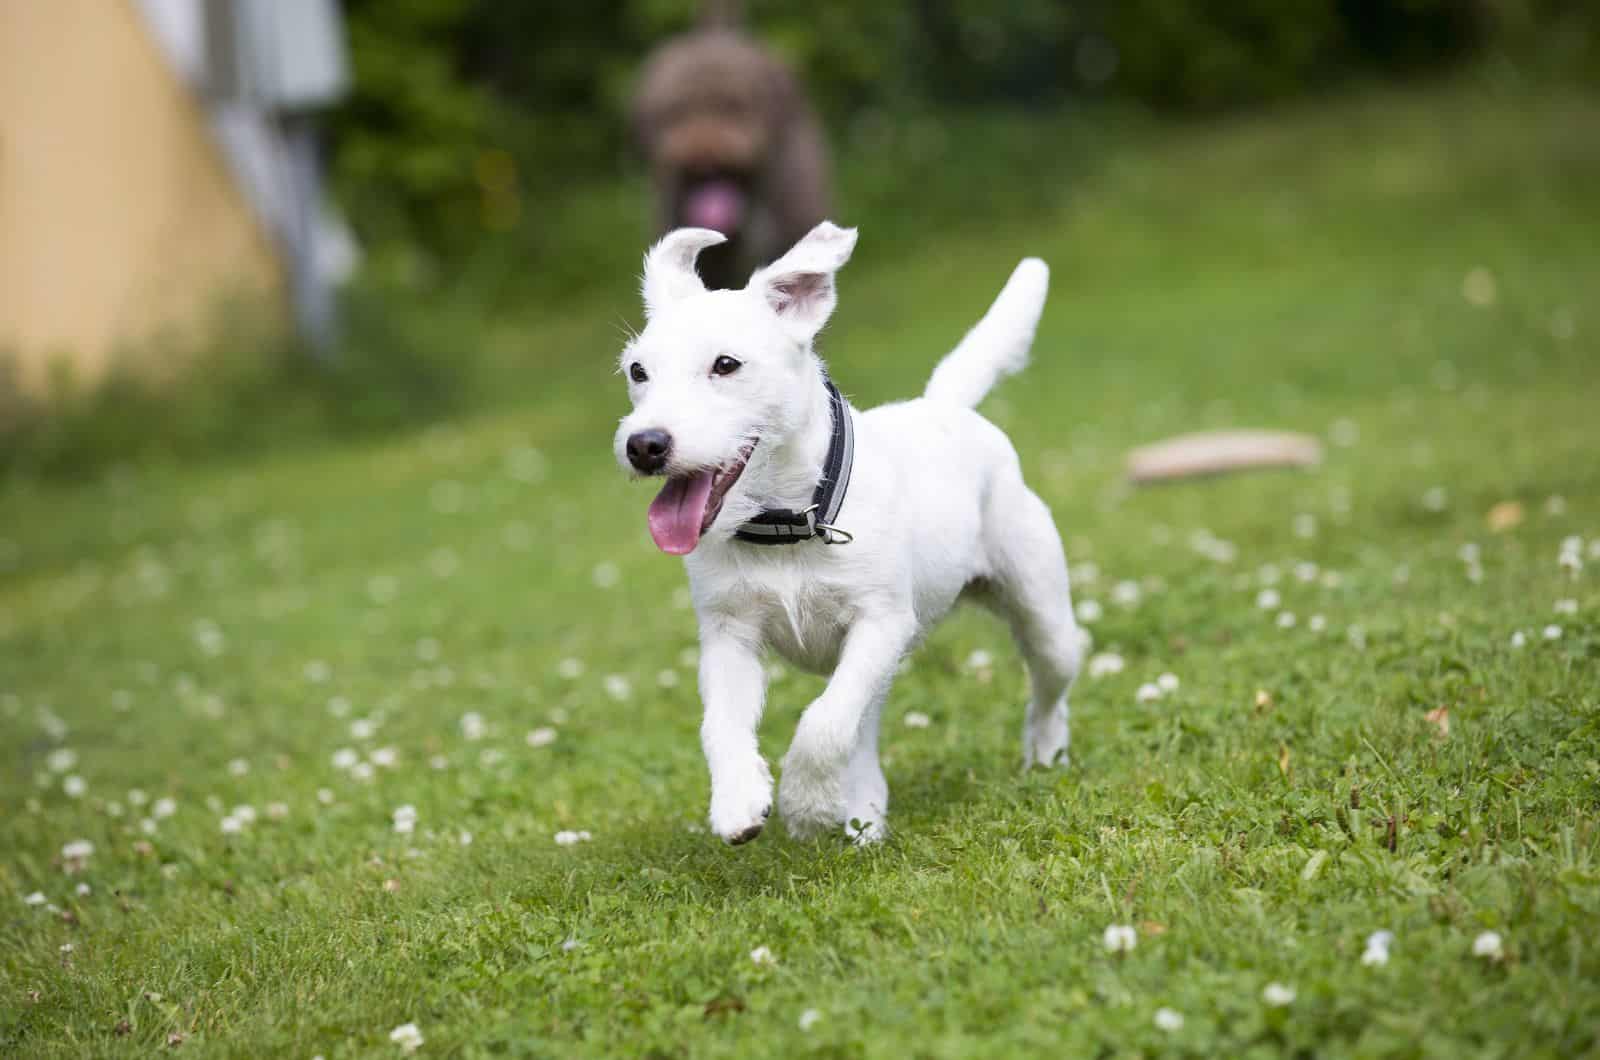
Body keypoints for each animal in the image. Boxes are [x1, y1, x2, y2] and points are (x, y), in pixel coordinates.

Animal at [617, 222, 1081, 845]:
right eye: (638, 372)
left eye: (726, 364)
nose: (644, 445)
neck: (785, 524)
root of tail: (944, 407)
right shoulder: (728, 638)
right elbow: (724, 726)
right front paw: (738, 799)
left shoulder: (880, 624)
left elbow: (823, 723)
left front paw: (805, 803)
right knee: (862, 730)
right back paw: (865, 809)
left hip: (1039, 614)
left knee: (1047, 687)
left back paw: (1044, 754)